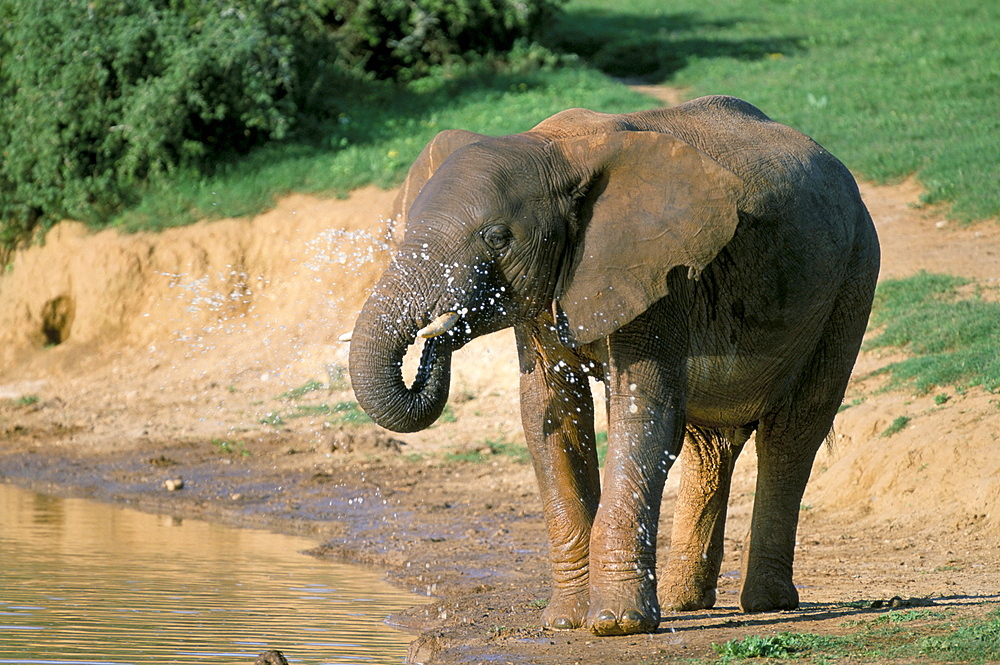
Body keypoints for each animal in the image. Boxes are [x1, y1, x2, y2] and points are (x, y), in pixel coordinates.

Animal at [348, 94, 880, 632]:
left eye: (497, 237)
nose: (437, 333)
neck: (551, 149)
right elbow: (551, 414)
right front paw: (564, 622)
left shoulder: (657, 268)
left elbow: (641, 412)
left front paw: (617, 624)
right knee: (709, 445)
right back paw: (685, 601)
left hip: (853, 277)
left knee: (794, 431)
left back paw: (768, 603)